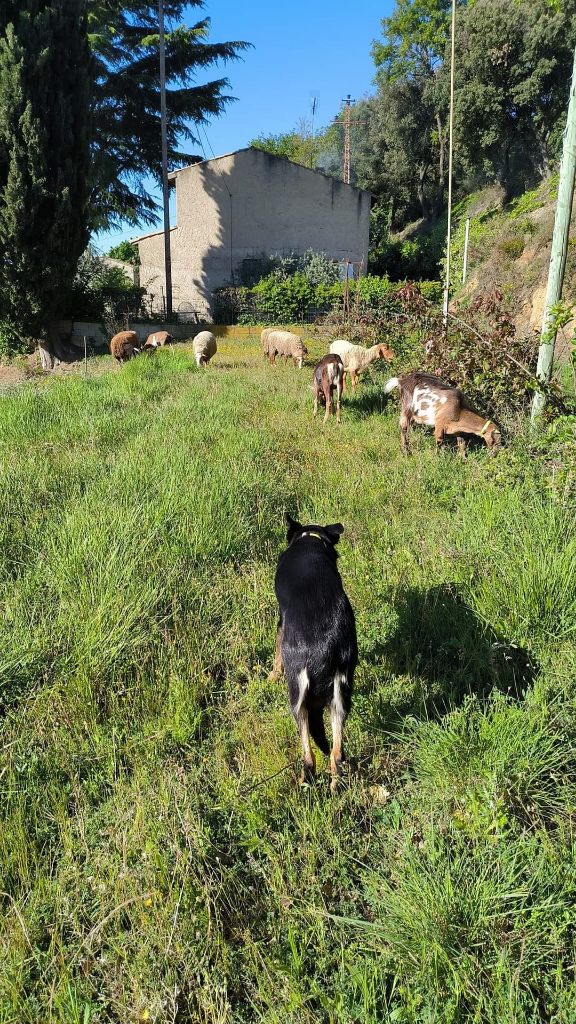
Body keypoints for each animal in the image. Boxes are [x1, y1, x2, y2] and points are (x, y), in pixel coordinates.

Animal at [268, 512, 354, 790]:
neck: (311, 539)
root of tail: (322, 651)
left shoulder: (281, 621)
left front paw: (272, 674)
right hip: (340, 695)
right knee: (336, 754)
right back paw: (336, 788)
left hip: (297, 697)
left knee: (309, 757)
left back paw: (304, 784)